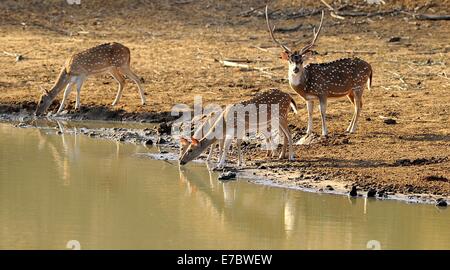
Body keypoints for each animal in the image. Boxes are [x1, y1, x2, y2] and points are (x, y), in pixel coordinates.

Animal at [266, 5, 370, 141]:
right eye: (290, 60)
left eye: (301, 61)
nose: (295, 69)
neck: (305, 85)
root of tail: (370, 66)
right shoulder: (309, 98)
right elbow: (309, 112)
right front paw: (308, 131)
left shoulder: (322, 92)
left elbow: (322, 112)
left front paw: (324, 132)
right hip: (351, 91)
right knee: (358, 105)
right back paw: (348, 128)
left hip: (359, 85)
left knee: (358, 106)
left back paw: (352, 130)